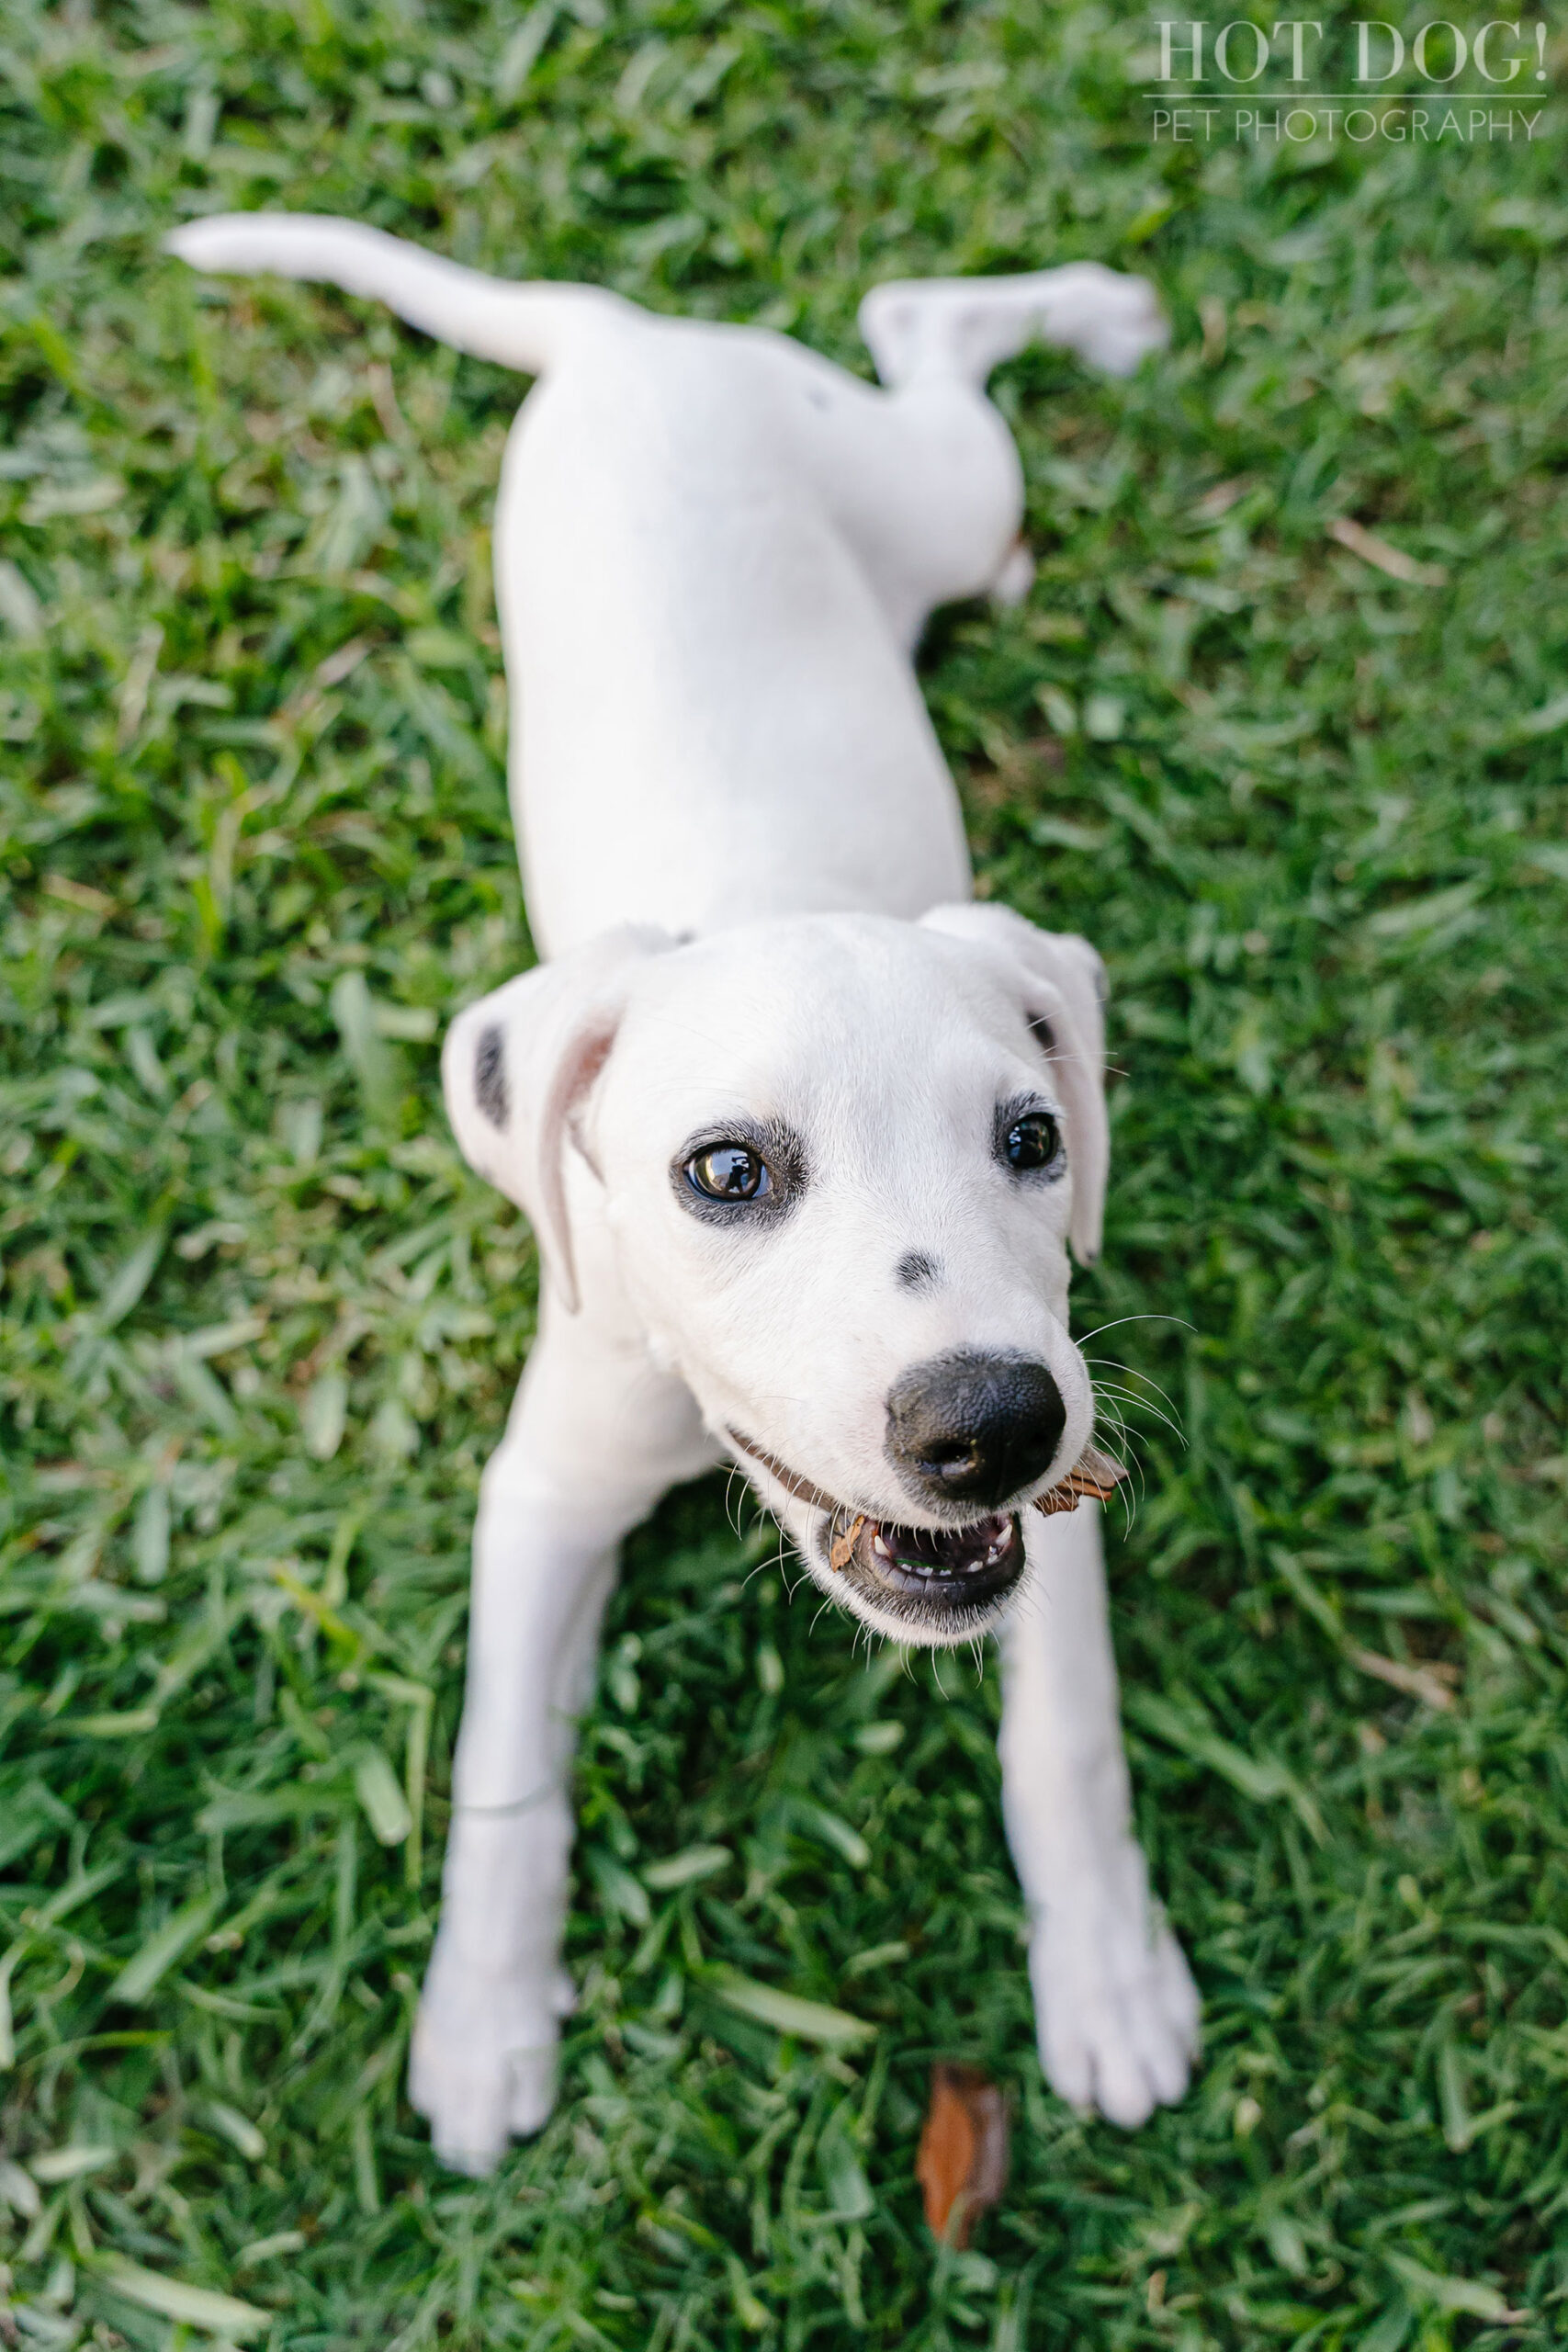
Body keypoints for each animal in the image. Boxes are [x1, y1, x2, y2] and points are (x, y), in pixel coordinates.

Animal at [169, 216, 1203, 2164]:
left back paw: (1098, 313)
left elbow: (1069, 1741)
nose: (990, 1425)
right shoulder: (544, 1491)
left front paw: (1108, 1978)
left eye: (1034, 1141)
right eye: (724, 1174)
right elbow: (504, 1766)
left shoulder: (1061, 1517)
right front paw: (483, 2026)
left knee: (924, 331)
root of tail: (622, 339)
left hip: (933, 490)